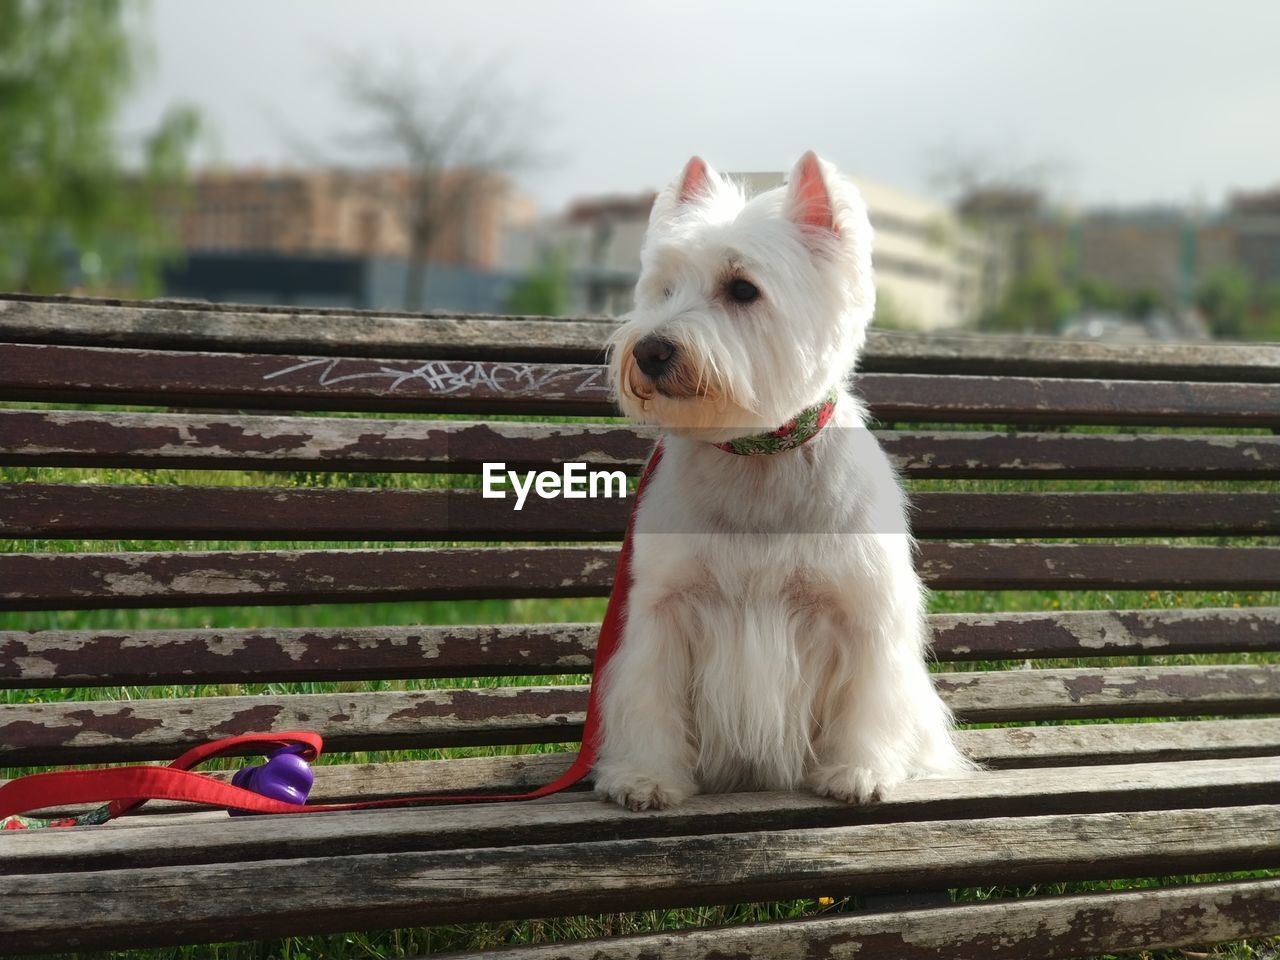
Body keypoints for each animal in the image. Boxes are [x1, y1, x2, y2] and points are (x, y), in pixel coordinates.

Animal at [596, 152, 967, 814]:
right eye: (664, 286)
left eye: (743, 289)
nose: (651, 351)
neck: (756, 458)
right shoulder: (665, 609)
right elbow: (649, 694)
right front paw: (645, 777)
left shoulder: (860, 612)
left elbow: (867, 697)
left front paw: (858, 771)